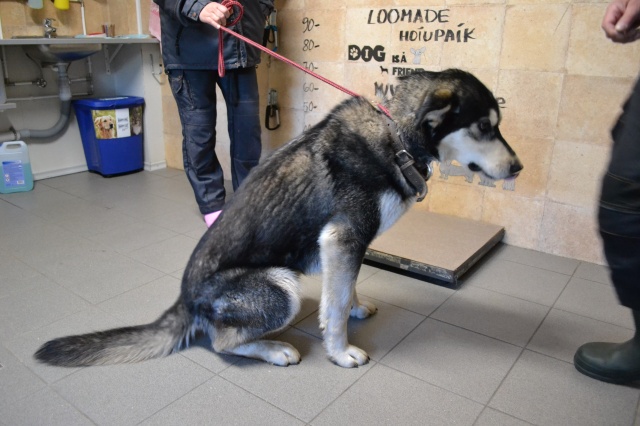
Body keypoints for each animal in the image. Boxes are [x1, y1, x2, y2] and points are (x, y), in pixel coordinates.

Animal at [35, 69, 522, 368]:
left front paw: (354, 308)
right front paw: (341, 352)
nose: (518, 168)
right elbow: (336, 308)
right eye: (483, 127)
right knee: (221, 341)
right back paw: (275, 350)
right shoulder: (345, 238)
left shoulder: (344, 244)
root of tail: (185, 300)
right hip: (281, 286)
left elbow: (344, 292)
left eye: (497, 125)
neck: (396, 137)